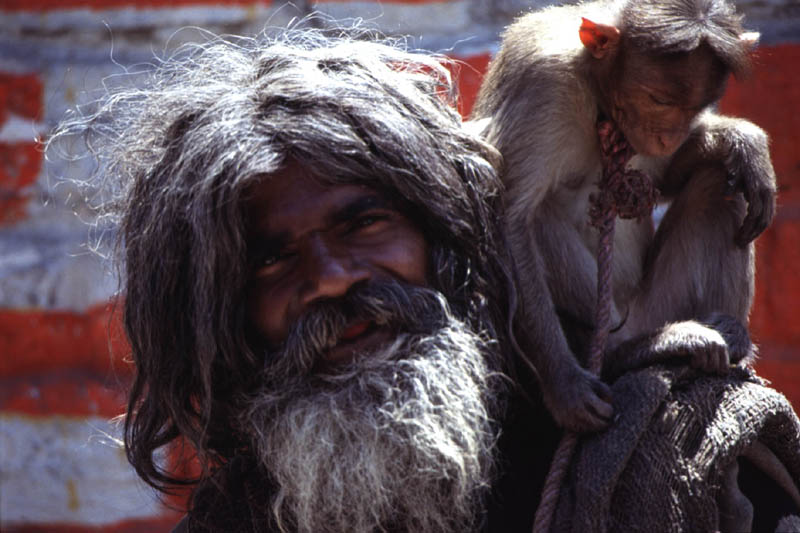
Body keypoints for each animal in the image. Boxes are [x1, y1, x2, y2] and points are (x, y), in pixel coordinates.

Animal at [468, 0, 776, 432]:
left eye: (694, 107)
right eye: (658, 100)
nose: (668, 136)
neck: (595, 90)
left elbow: (667, 176)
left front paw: (742, 142)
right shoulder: (545, 81)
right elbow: (508, 217)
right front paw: (565, 385)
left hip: (660, 306)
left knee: (719, 184)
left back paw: (731, 341)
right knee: (539, 215)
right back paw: (625, 351)